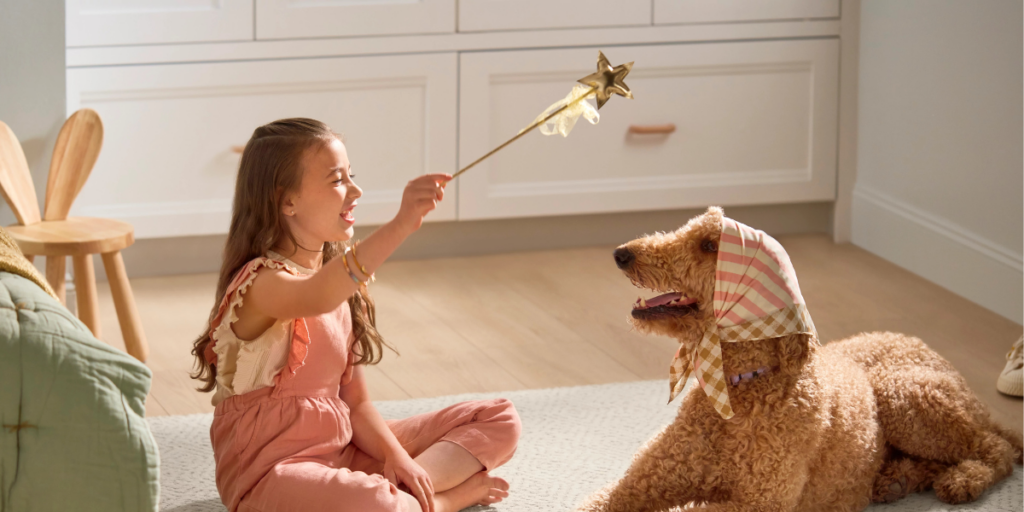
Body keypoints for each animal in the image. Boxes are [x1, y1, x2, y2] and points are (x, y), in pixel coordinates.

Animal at [581, 207, 1019, 512]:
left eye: (708, 245)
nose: (621, 254)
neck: (740, 388)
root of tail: (919, 343)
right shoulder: (638, 484)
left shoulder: (760, 501)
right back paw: (896, 479)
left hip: (906, 397)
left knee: (998, 447)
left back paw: (965, 478)